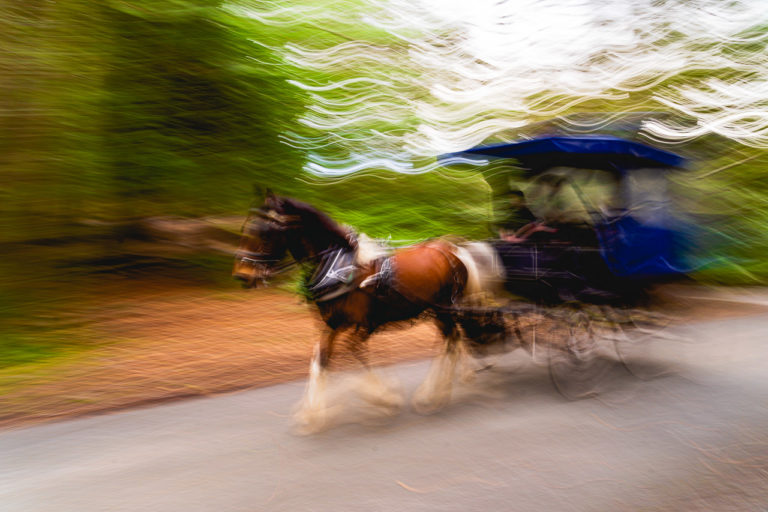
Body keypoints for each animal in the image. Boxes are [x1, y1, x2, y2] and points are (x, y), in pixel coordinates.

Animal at [233, 192, 503, 429]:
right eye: (246, 227)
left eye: (264, 232)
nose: (241, 275)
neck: (339, 268)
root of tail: (452, 250)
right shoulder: (331, 325)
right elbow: (320, 362)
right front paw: (312, 414)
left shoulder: (362, 326)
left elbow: (354, 357)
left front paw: (384, 397)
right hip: (437, 310)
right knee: (453, 339)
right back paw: (447, 385)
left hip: (444, 309)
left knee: (451, 342)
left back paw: (432, 395)